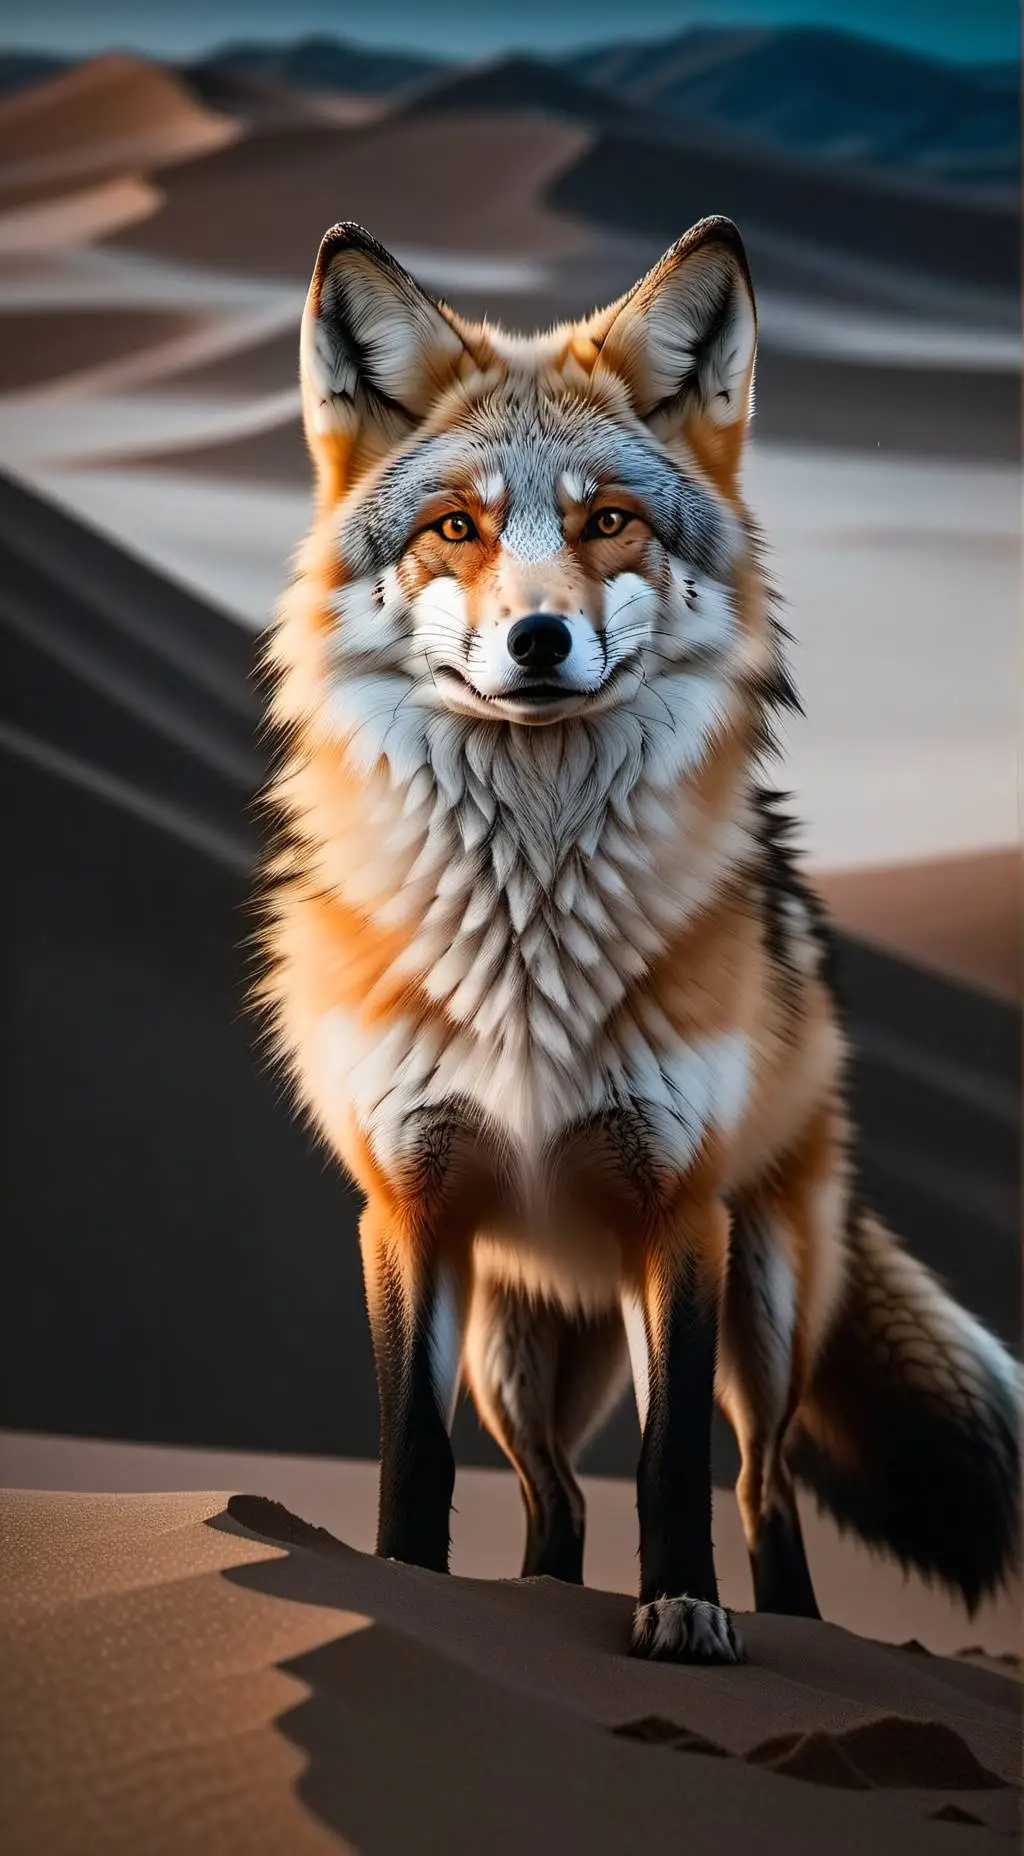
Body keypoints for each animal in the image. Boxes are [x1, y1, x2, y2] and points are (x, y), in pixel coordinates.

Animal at [258, 216, 1020, 1663]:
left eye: (607, 520)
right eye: (456, 528)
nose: (537, 636)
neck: (525, 939)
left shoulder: (679, 1208)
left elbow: (673, 1463)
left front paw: (681, 1609)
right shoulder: (408, 1205)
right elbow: (410, 1450)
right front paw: (405, 1594)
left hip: (762, 1303)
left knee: (761, 1481)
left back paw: (784, 1625)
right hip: (516, 1356)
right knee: (553, 1500)